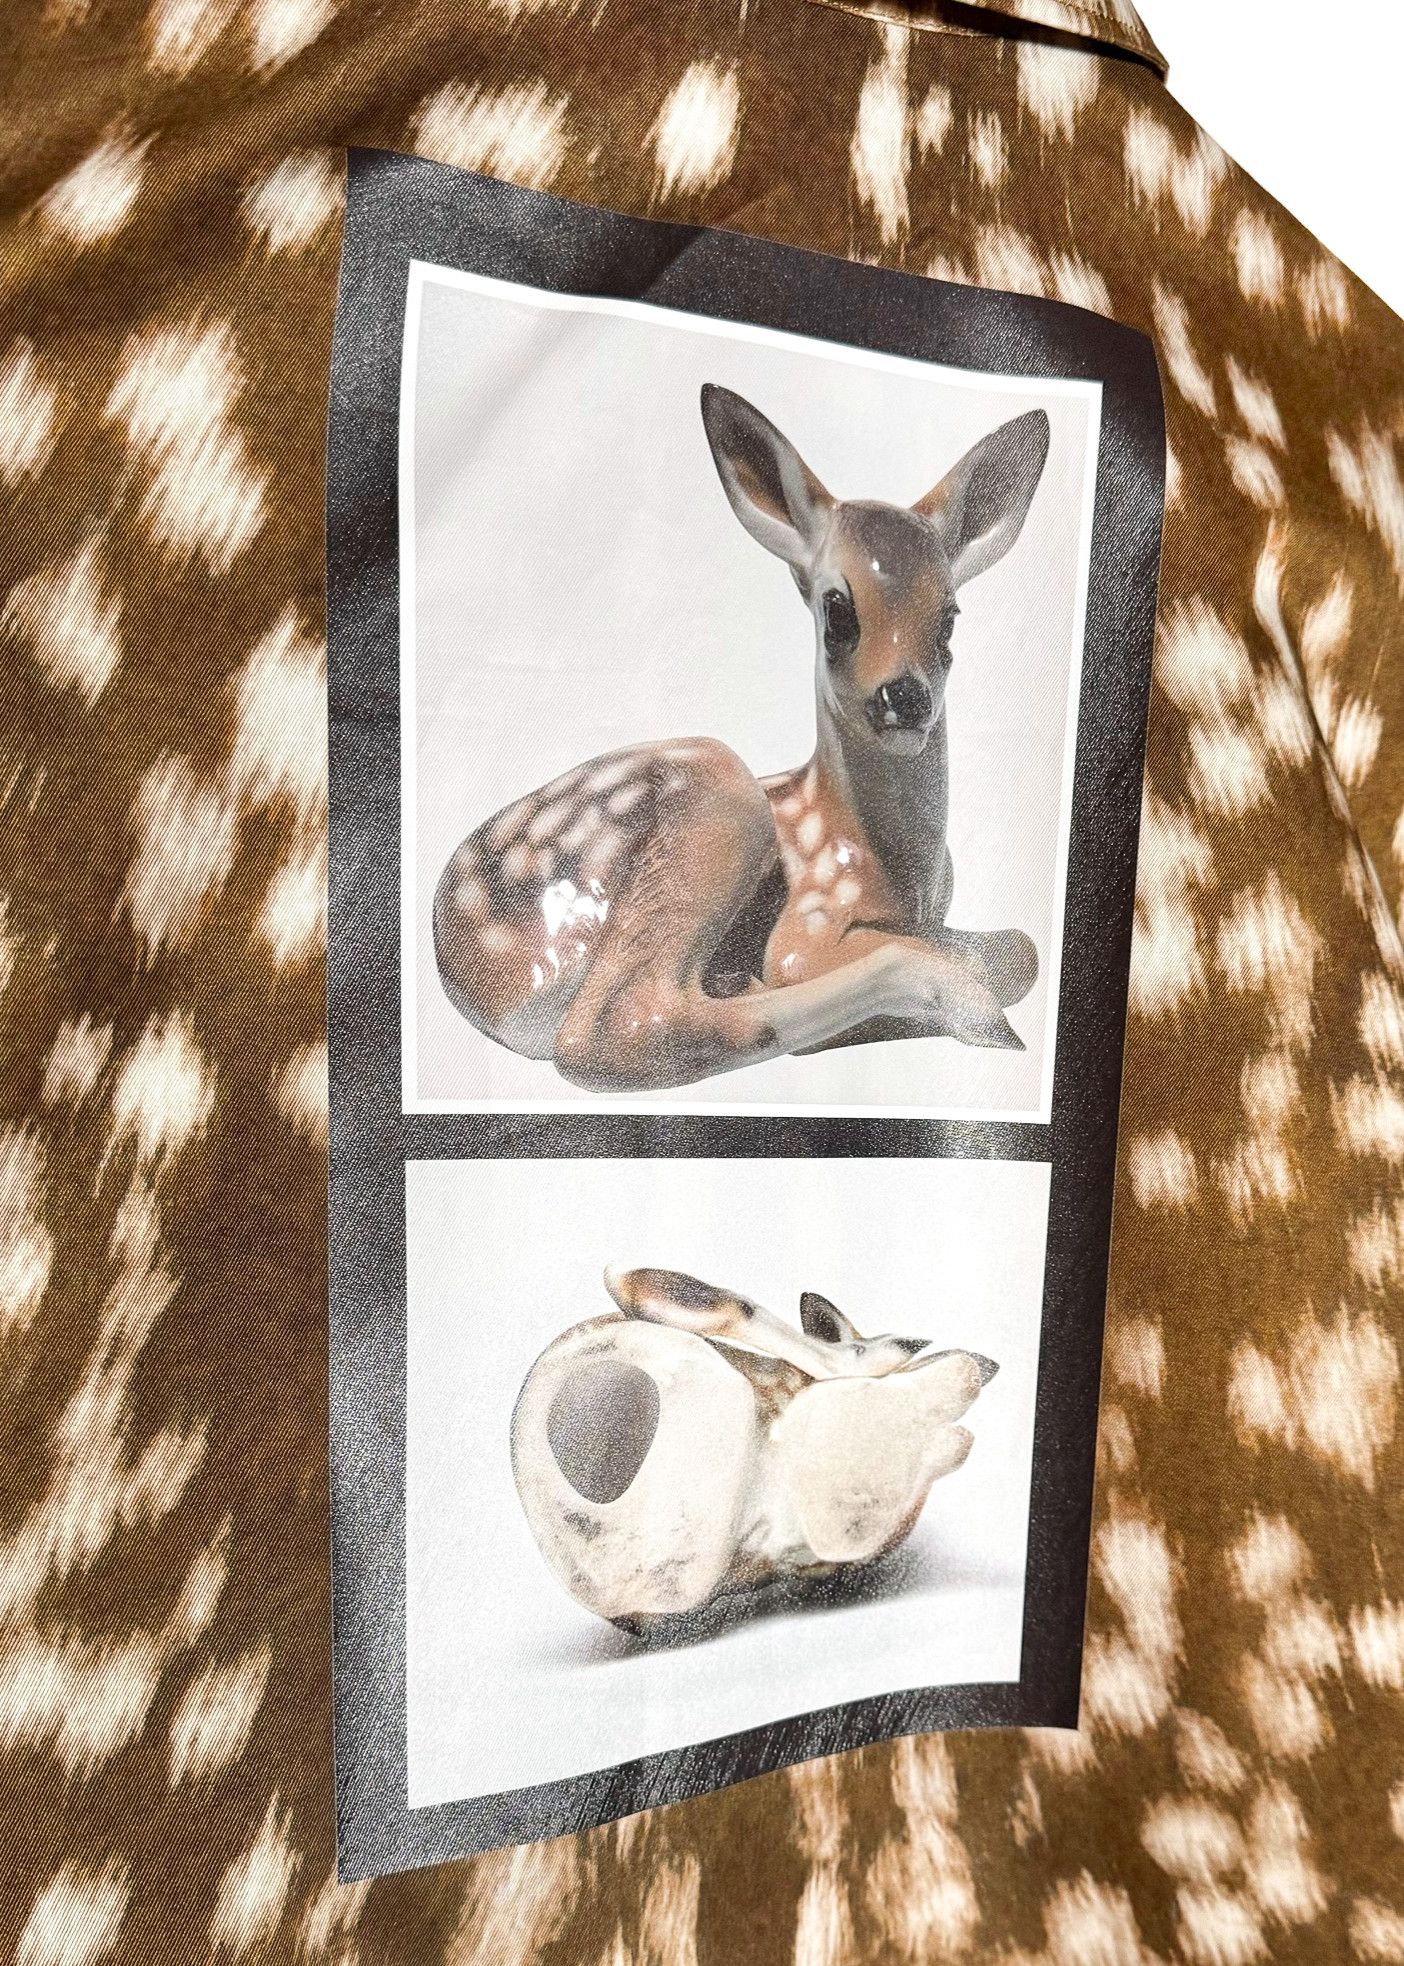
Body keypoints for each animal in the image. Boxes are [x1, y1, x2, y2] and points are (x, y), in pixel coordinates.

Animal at [433, 385, 1051, 1092]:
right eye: (837, 608)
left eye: (950, 616)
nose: (905, 697)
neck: (900, 877)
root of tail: (465, 969)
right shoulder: (808, 923)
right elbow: (996, 953)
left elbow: (1023, 948)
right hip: (717, 797)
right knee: (614, 1029)